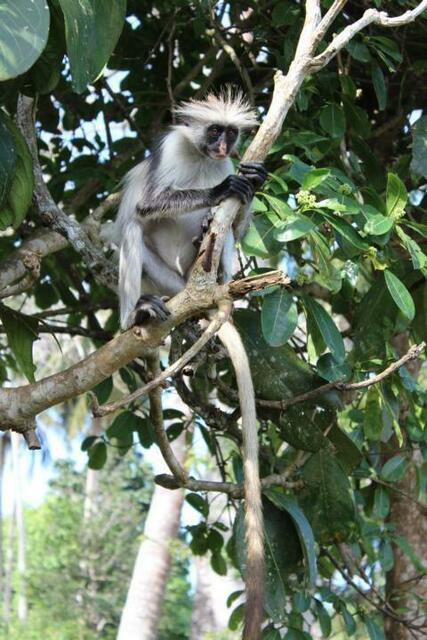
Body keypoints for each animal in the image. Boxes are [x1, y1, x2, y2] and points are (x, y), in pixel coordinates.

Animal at [116, 90, 267, 639]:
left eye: (231, 133)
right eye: (212, 131)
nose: (223, 147)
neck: (204, 159)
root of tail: (189, 288)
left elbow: (239, 215)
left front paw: (246, 184)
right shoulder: (170, 148)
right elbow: (146, 203)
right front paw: (223, 186)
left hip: (194, 271)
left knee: (220, 243)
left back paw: (218, 264)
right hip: (160, 277)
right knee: (133, 227)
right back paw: (138, 314)